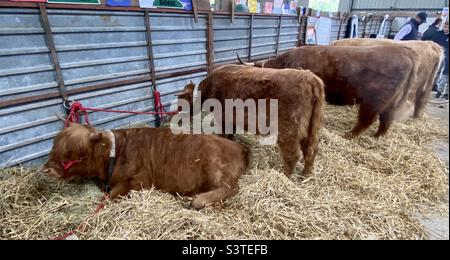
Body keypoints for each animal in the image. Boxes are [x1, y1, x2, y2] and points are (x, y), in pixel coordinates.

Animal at [41, 123, 250, 210]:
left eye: (72, 153)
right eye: (54, 145)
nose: (46, 169)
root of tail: (239, 146)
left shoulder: (139, 181)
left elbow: (111, 196)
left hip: (215, 167)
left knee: (231, 187)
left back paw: (198, 200)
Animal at [174, 64, 326, 177]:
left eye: (181, 100)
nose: (178, 114)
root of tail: (311, 77)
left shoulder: (222, 117)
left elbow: (223, 135)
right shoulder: (231, 120)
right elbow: (230, 136)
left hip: (289, 129)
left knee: (293, 154)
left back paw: (285, 176)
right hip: (311, 128)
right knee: (311, 149)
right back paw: (306, 174)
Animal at [248, 45, 416, 138]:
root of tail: (405, 52)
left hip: (373, 100)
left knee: (367, 119)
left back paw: (348, 135)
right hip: (391, 102)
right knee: (386, 119)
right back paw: (376, 136)